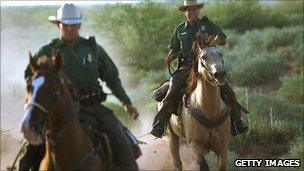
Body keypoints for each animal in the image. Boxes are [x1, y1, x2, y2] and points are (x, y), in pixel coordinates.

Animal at [166, 35, 230, 170]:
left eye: (220, 54)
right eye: (203, 57)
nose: (220, 74)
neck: (210, 111)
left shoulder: (223, 146)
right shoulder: (194, 144)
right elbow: (203, 165)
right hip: (172, 137)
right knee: (177, 163)